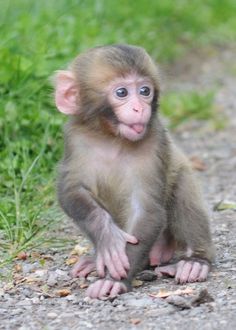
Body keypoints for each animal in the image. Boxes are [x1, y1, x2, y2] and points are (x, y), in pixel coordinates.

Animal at [54, 43, 215, 300]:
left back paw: (194, 262)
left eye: (144, 90)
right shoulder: (75, 138)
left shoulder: (153, 139)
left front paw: (113, 281)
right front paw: (108, 238)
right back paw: (94, 260)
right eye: (122, 92)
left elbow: (146, 209)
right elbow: (71, 191)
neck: (111, 138)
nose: (139, 108)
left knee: (182, 192)